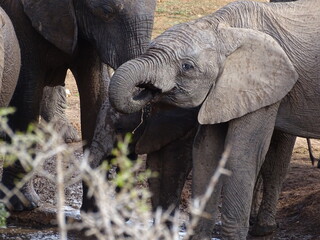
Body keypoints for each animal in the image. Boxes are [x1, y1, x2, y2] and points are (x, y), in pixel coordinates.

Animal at [0, 0, 157, 212]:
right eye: (106, 11)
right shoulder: (19, 15)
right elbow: (26, 94)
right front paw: (22, 205)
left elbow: (97, 93)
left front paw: (96, 212)